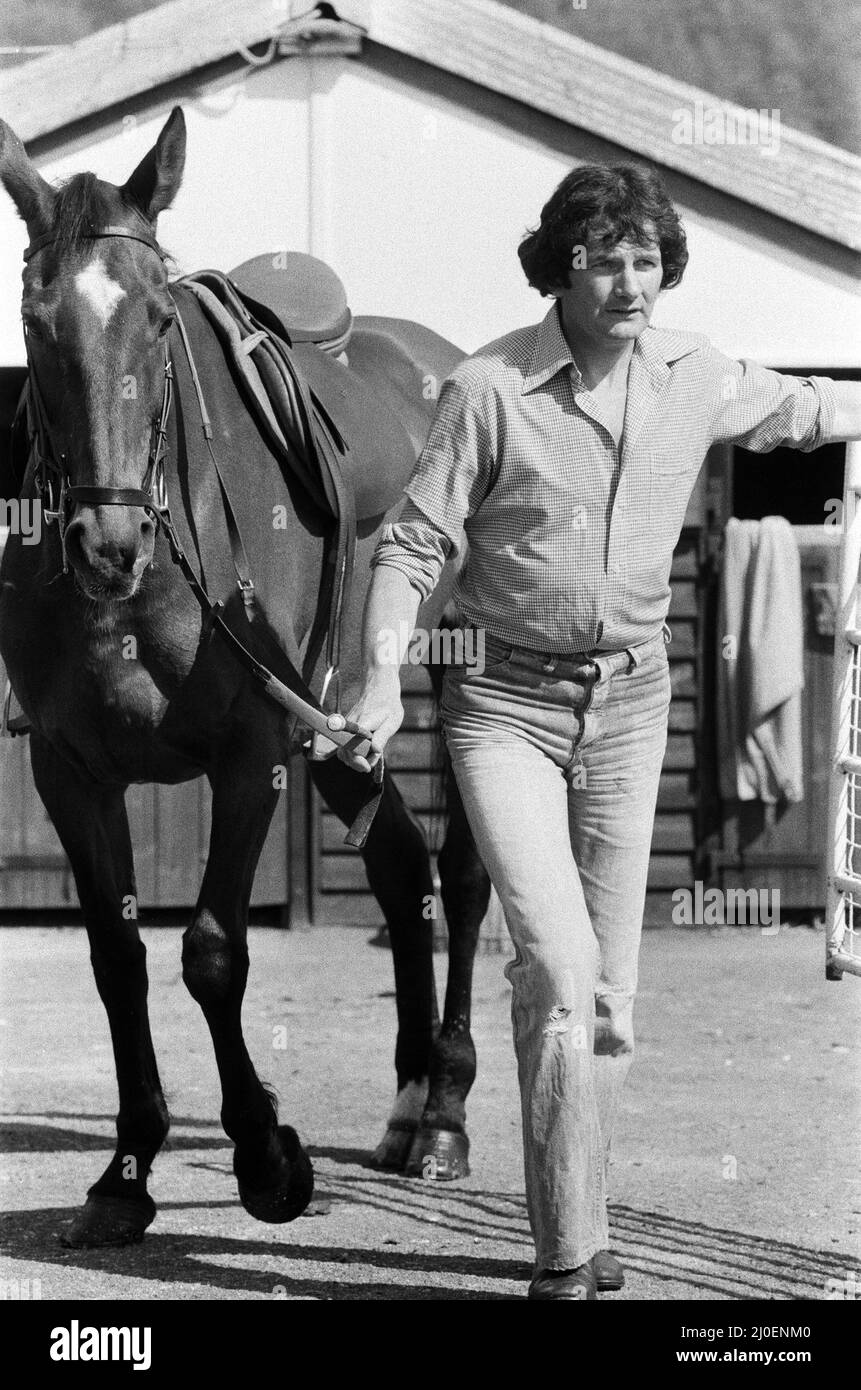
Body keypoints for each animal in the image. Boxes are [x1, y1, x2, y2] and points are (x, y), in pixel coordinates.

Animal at [0, 106, 493, 1247]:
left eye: (154, 322)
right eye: (37, 321)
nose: (106, 542)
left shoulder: (250, 754)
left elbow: (213, 952)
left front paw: (267, 1157)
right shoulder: (69, 771)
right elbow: (117, 958)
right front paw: (125, 1173)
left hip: (462, 689)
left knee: (461, 875)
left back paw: (445, 1113)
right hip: (345, 718)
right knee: (400, 865)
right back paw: (408, 1101)